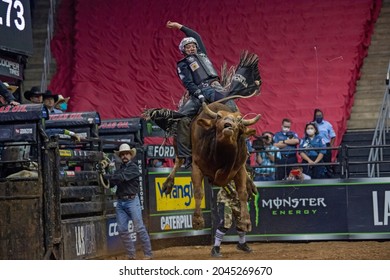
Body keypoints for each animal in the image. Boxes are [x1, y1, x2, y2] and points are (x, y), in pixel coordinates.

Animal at [142, 50, 260, 232]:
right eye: (218, 118)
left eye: (239, 122)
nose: (228, 126)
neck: (222, 155)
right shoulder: (197, 166)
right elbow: (198, 191)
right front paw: (197, 221)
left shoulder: (238, 168)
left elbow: (241, 192)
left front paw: (245, 221)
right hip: (179, 145)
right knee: (179, 160)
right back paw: (168, 184)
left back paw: (248, 186)